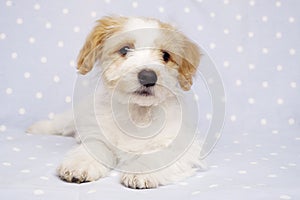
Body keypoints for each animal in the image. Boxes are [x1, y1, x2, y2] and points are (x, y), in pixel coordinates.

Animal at [27, 16, 205, 189]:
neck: (137, 113)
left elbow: (158, 155)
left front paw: (141, 171)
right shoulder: (98, 135)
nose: (148, 77)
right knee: (61, 122)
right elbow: (94, 147)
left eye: (166, 55)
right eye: (125, 49)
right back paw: (38, 127)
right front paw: (80, 164)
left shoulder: (179, 144)